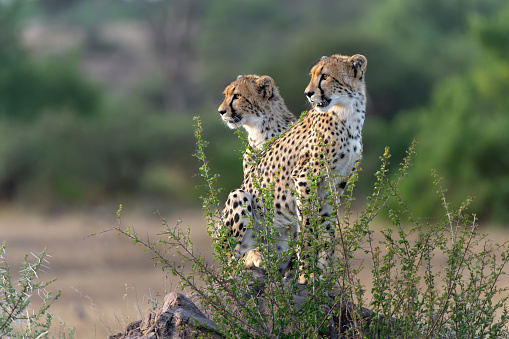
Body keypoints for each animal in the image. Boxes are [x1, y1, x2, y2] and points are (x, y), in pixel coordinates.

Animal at [222, 53, 366, 282]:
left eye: (325, 76)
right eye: (313, 75)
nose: (308, 93)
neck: (348, 114)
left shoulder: (335, 185)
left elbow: (328, 232)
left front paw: (326, 277)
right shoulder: (304, 177)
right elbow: (307, 230)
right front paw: (307, 277)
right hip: (240, 196)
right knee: (229, 258)